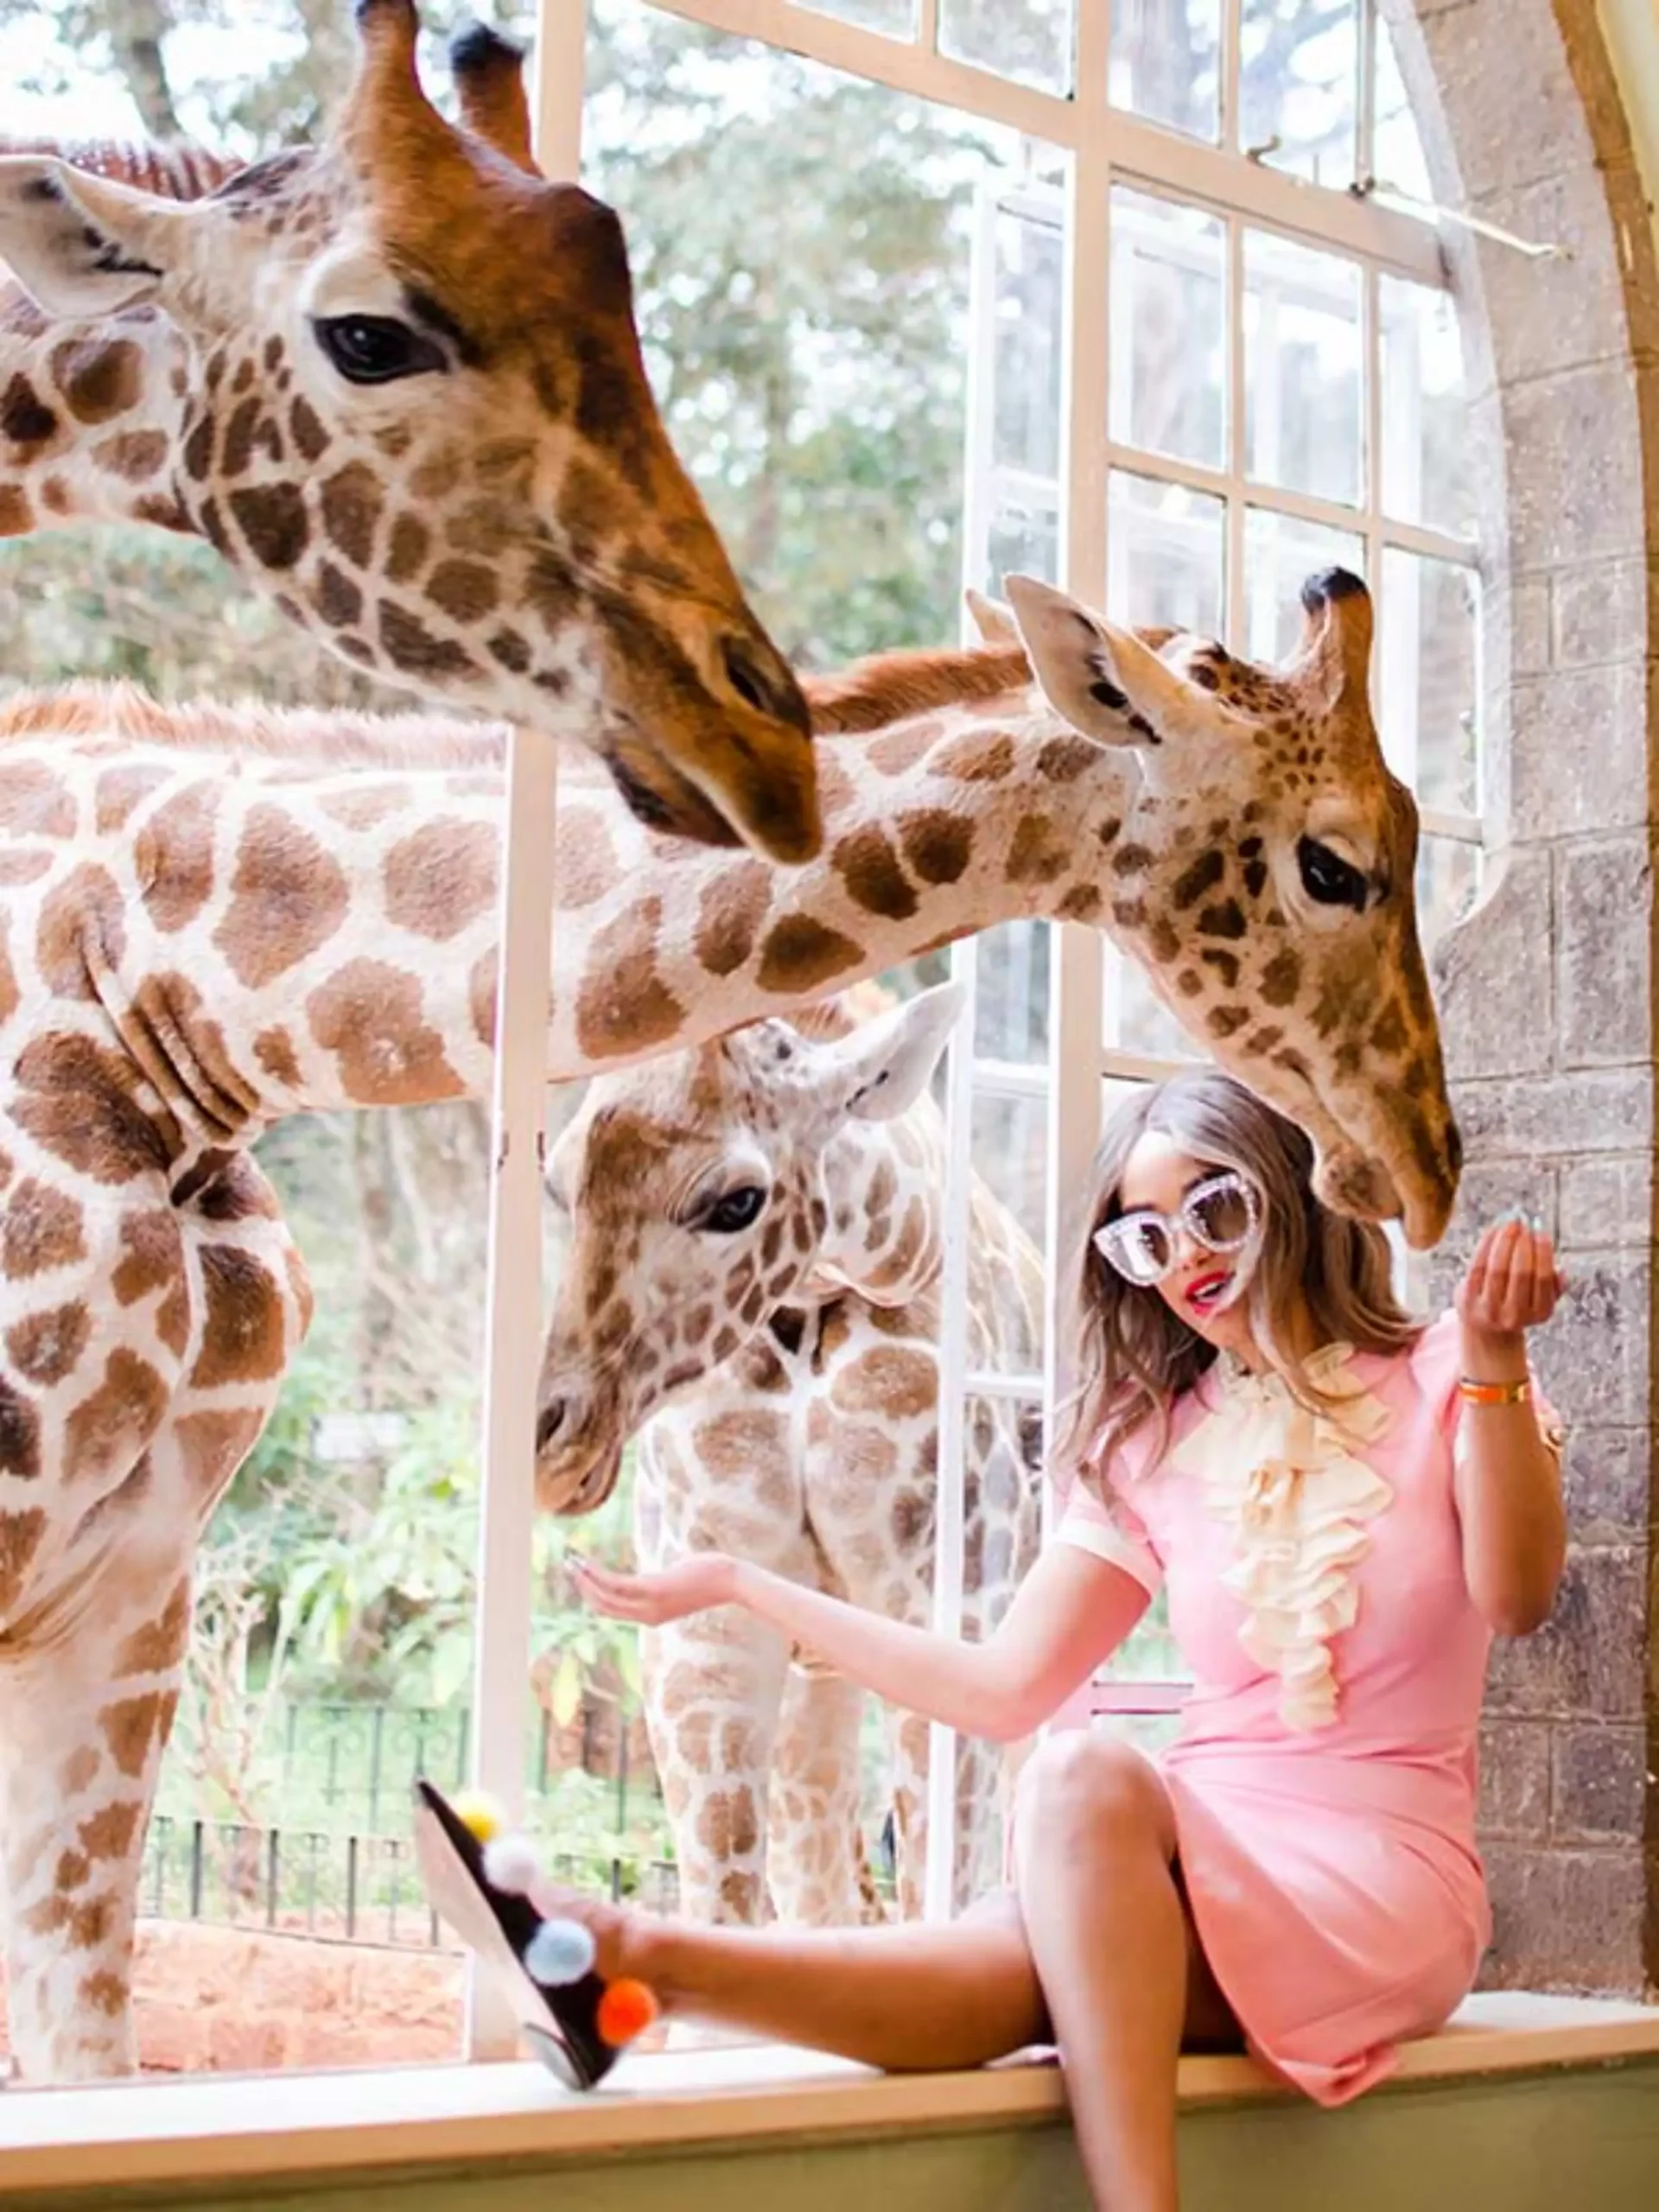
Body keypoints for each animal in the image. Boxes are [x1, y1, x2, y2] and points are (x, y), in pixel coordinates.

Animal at [540, 983, 1045, 1930]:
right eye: (557, 1186)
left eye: (738, 1201)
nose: (556, 1444)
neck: (821, 1299)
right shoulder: (707, 1637)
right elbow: (729, 1902)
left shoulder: (949, 1609)